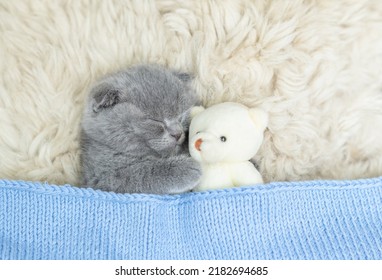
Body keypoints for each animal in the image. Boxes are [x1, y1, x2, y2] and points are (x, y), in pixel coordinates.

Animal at [79, 64, 201, 194]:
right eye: (155, 120)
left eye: (181, 116)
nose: (178, 134)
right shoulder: (101, 176)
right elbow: (142, 172)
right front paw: (186, 168)